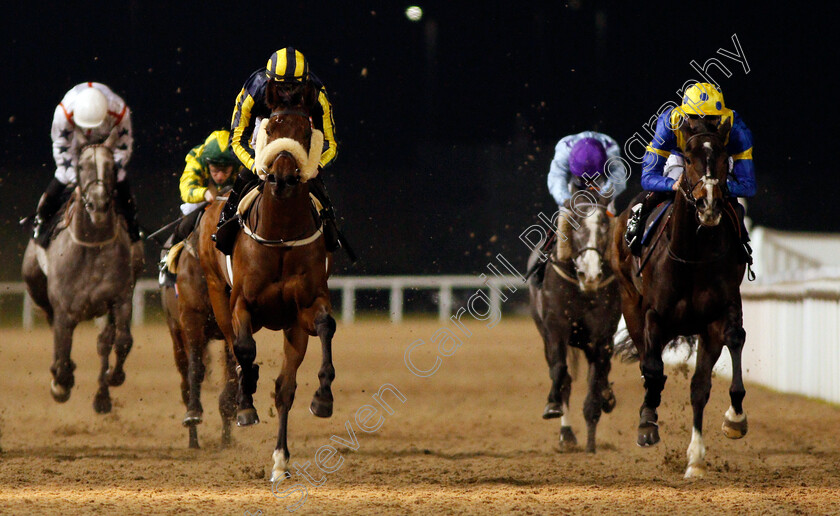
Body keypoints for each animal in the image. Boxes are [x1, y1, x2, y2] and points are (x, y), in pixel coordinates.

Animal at [199, 104, 336, 480]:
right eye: (270, 130)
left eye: (305, 132)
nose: (283, 178)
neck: (281, 235)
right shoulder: (241, 305)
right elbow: (244, 348)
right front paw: (245, 404)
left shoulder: (306, 307)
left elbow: (325, 326)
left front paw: (323, 396)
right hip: (217, 296)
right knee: (236, 348)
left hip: (290, 327)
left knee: (284, 387)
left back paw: (280, 461)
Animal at [528, 196, 620, 454]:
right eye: (576, 226)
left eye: (604, 227)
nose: (590, 273)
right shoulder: (555, 330)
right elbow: (560, 372)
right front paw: (553, 406)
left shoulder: (601, 338)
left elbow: (595, 381)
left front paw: (591, 440)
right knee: (564, 377)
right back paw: (566, 434)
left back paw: (607, 397)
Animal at [612, 117, 748, 480]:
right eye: (687, 158)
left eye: (723, 157)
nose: (709, 204)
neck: (691, 258)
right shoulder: (653, 316)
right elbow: (652, 368)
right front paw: (647, 425)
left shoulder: (718, 317)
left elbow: (709, 376)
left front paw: (730, 423)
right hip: (630, 303)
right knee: (648, 364)